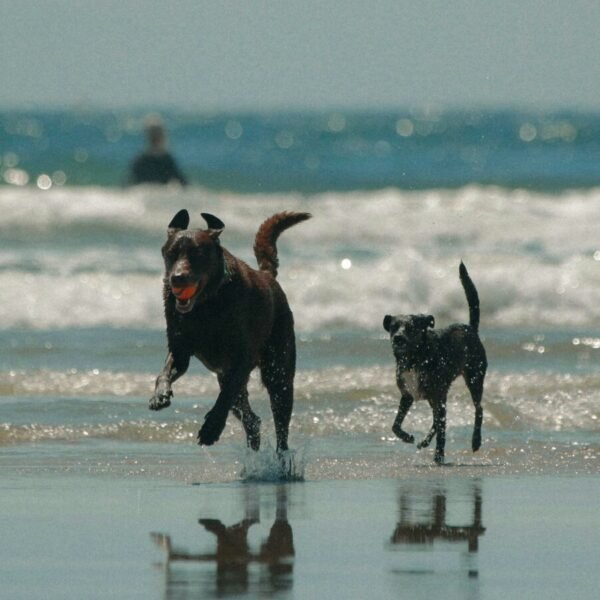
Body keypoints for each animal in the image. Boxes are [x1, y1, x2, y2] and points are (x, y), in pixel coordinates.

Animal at [150, 207, 312, 454]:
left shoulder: (242, 358)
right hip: (229, 377)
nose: (177, 278)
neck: (205, 305)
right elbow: (165, 371)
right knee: (251, 419)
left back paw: (281, 458)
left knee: (279, 421)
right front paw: (160, 395)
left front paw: (211, 429)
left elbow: (225, 396)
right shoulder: (180, 349)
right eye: (171, 253)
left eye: (197, 254)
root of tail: (267, 276)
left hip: (278, 370)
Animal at [384, 262, 488, 464]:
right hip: (438, 396)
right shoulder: (407, 396)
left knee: (478, 409)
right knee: (436, 421)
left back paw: (476, 441)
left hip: (474, 379)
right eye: (393, 327)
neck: (415, 359)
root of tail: (471, 328)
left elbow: (442, 431)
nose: (398, 338)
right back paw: (424, 441)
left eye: (411, 327)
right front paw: (407, 436)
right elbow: (395, 425)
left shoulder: (438, 396)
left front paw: (439, 455)